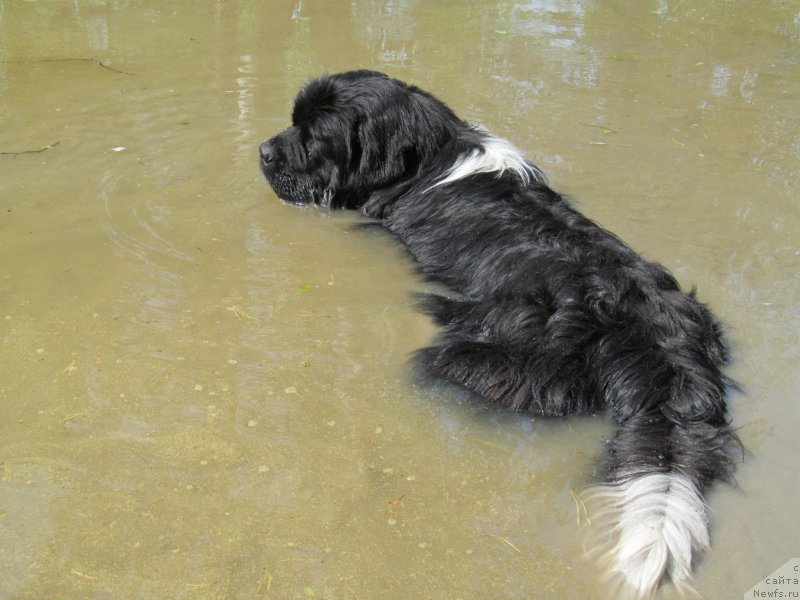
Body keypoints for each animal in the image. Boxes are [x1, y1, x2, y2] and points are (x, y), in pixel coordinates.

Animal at [260, 70, 740, 596]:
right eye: (294, 121)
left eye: (313, 136)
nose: (263, 150)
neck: (429, 161)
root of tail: (660, 338)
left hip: (474, 361)